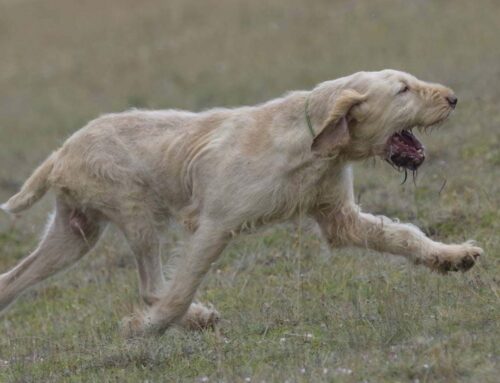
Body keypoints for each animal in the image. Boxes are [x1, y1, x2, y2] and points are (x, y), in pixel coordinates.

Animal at [0, 70, 484, 336]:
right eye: (403, 89)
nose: (454, 98)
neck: (312, 140)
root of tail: (61, 151)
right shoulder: (213, 225)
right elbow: (177, 292)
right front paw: (148, 328)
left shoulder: (340, 219)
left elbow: (403, 235)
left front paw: (451, 256)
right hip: (137, 215)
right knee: (152, 286)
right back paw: (190, 319)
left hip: (74, 235)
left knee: (12, 279)